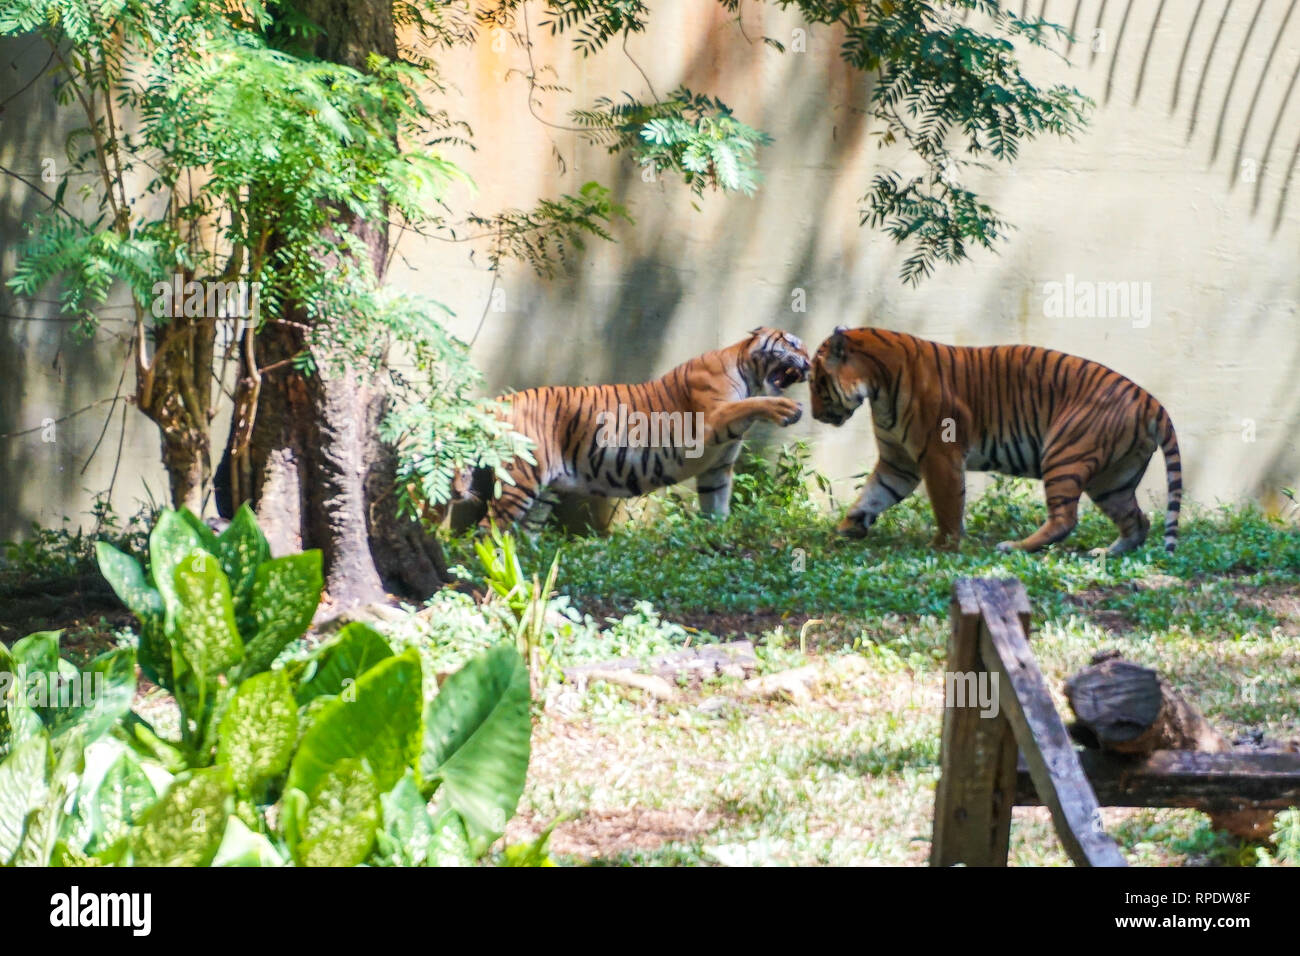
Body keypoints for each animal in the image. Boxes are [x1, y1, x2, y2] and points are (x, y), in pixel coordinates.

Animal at [473, 325, 806, 528]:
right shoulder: (712, 419)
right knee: (488, 530)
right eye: (792, 343)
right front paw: (788, 410)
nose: (808, 363)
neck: (751, 377)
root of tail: (505, 398)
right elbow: (752, 404)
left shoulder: (717, 469)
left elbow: (717, 508)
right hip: (522, 479)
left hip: (544, 492)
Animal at [816, 327, 1185, 556]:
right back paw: (1106, 553)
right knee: (1138, 520)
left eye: (818, 381)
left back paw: (1014, 547)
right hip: (1112, 480)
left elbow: (946, 505)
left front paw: (943, 546)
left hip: (1064, 454)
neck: (878, 385)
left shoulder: (938, 455)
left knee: (1065, 519)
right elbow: (873, 494)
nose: (817, 415)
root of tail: (1147, 398)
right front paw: (846, 528)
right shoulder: (898, 462)